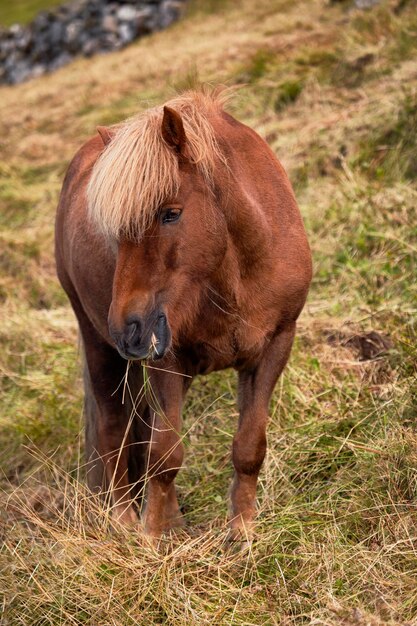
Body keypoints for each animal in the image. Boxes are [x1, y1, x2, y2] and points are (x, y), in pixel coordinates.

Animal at [54, 88, 308, 536]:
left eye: (171, 213)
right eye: (115, 231)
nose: (127, 328)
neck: (234, 273)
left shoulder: (275, 345)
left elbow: (249, 446)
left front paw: (241, 533)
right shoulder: (166, 361)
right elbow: (165, 455)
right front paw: (151, 539)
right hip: (100, 346)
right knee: (114, 429)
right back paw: (124, 521)